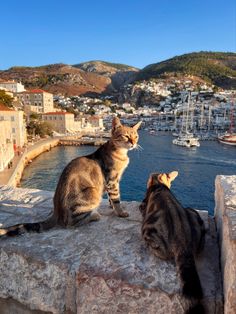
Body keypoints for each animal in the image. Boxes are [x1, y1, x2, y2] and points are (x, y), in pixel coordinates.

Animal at [0, 116, 142, 237]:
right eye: (126, 136)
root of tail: (57, 212)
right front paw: (120, 212)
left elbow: (111, 199)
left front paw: (112, 207)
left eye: (136, 136)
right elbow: (116, 198)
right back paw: (94, 216)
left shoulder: (111, 182)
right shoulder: (112, 180)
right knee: (71, 223)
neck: (120, 153)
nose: (134, 143)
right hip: (92, 192)